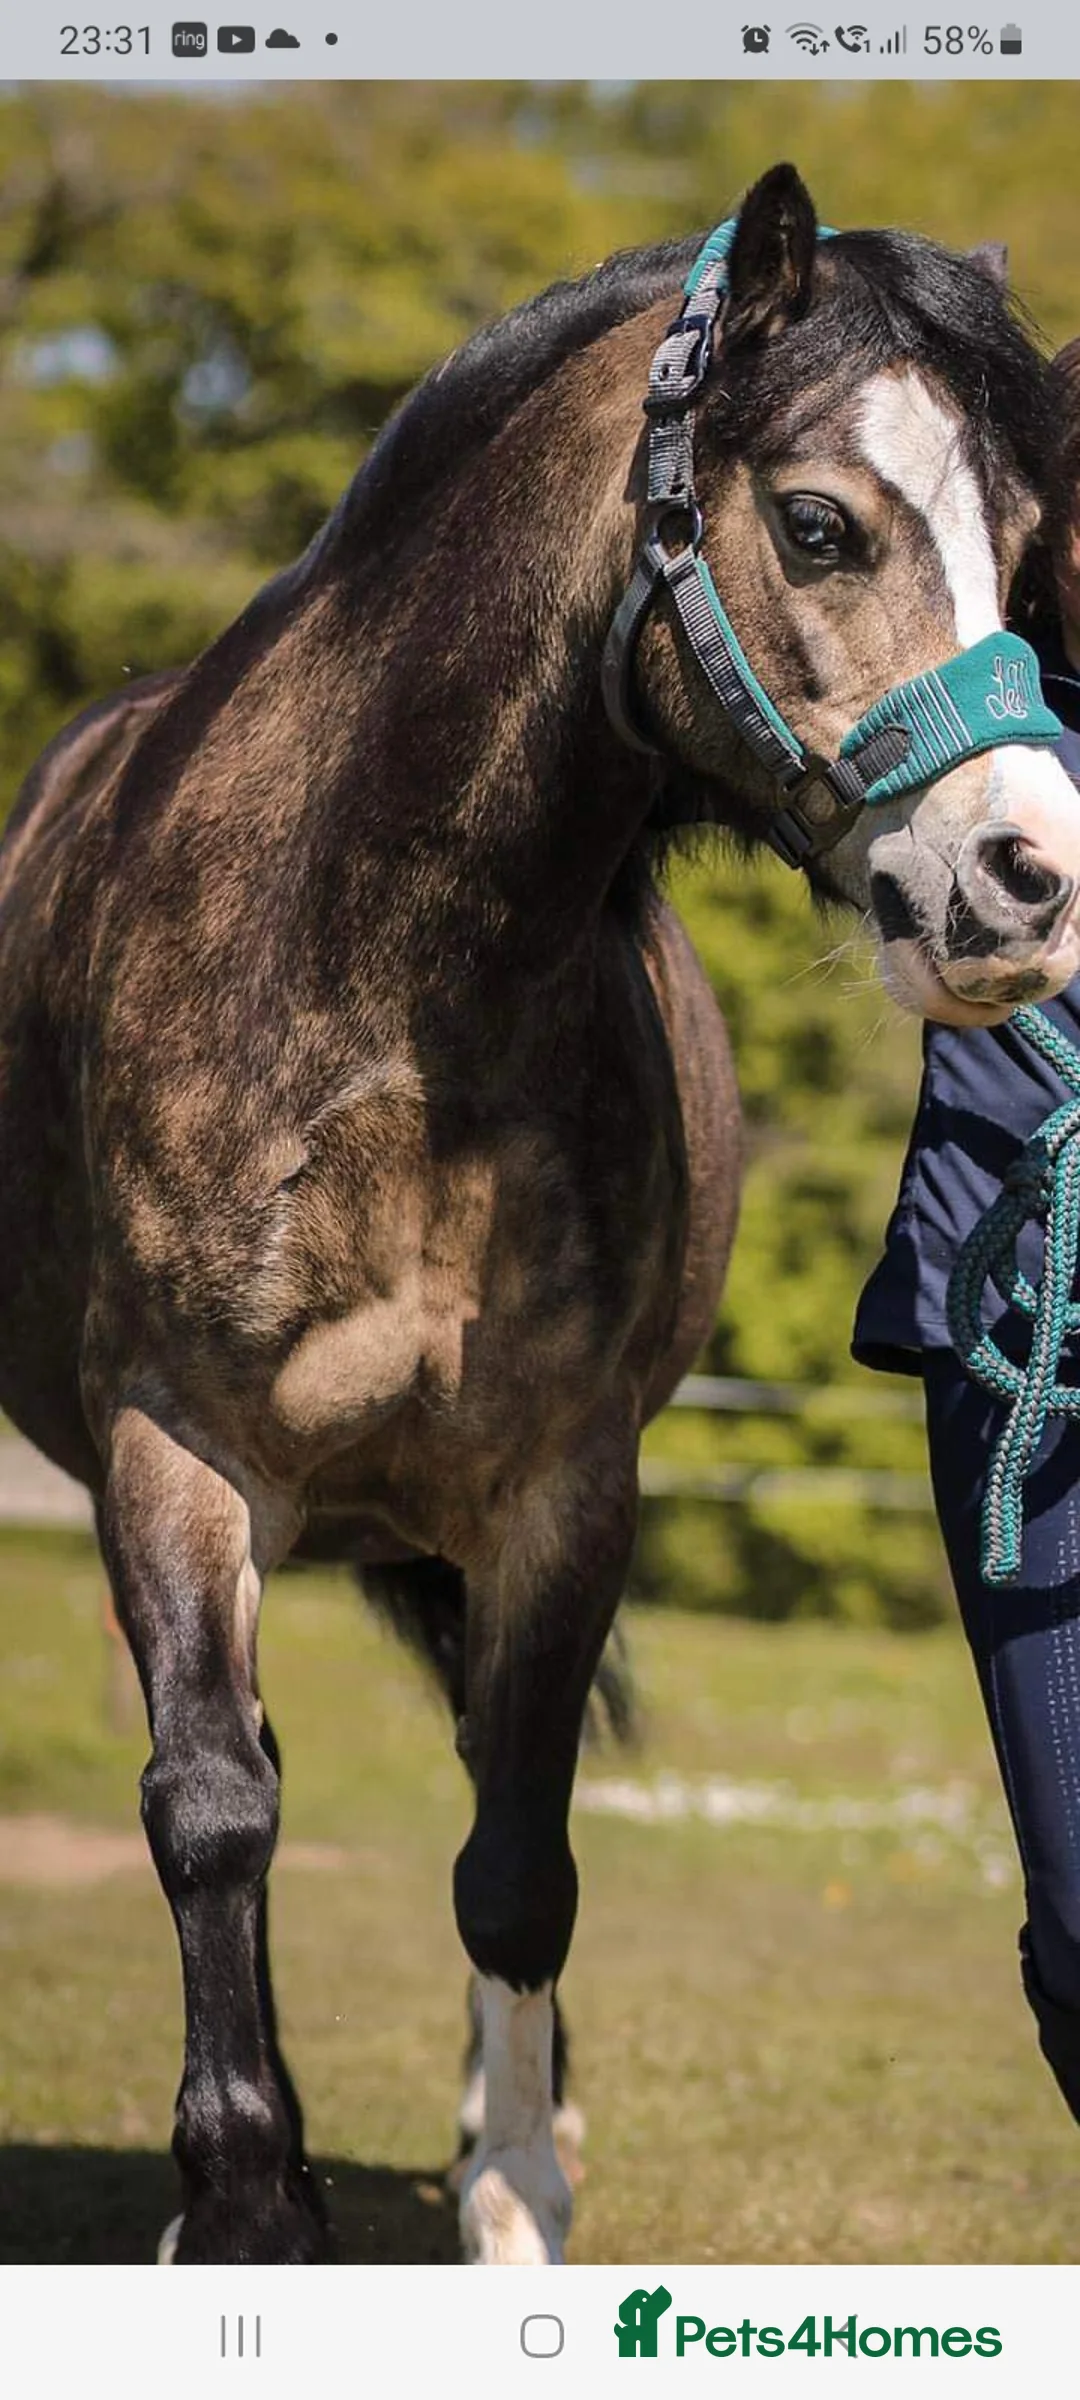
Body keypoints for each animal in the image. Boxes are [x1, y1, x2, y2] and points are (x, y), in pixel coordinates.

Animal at [2, 160, 1080, 2268]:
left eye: (1019, 542)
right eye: (819, 523)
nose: (1031, 885)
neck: (385, 977)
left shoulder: (562, 1488)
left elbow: (517, 1853)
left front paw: (515, 2196)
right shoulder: (174, 1450)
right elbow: (210, 1810)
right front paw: (240, 2205)